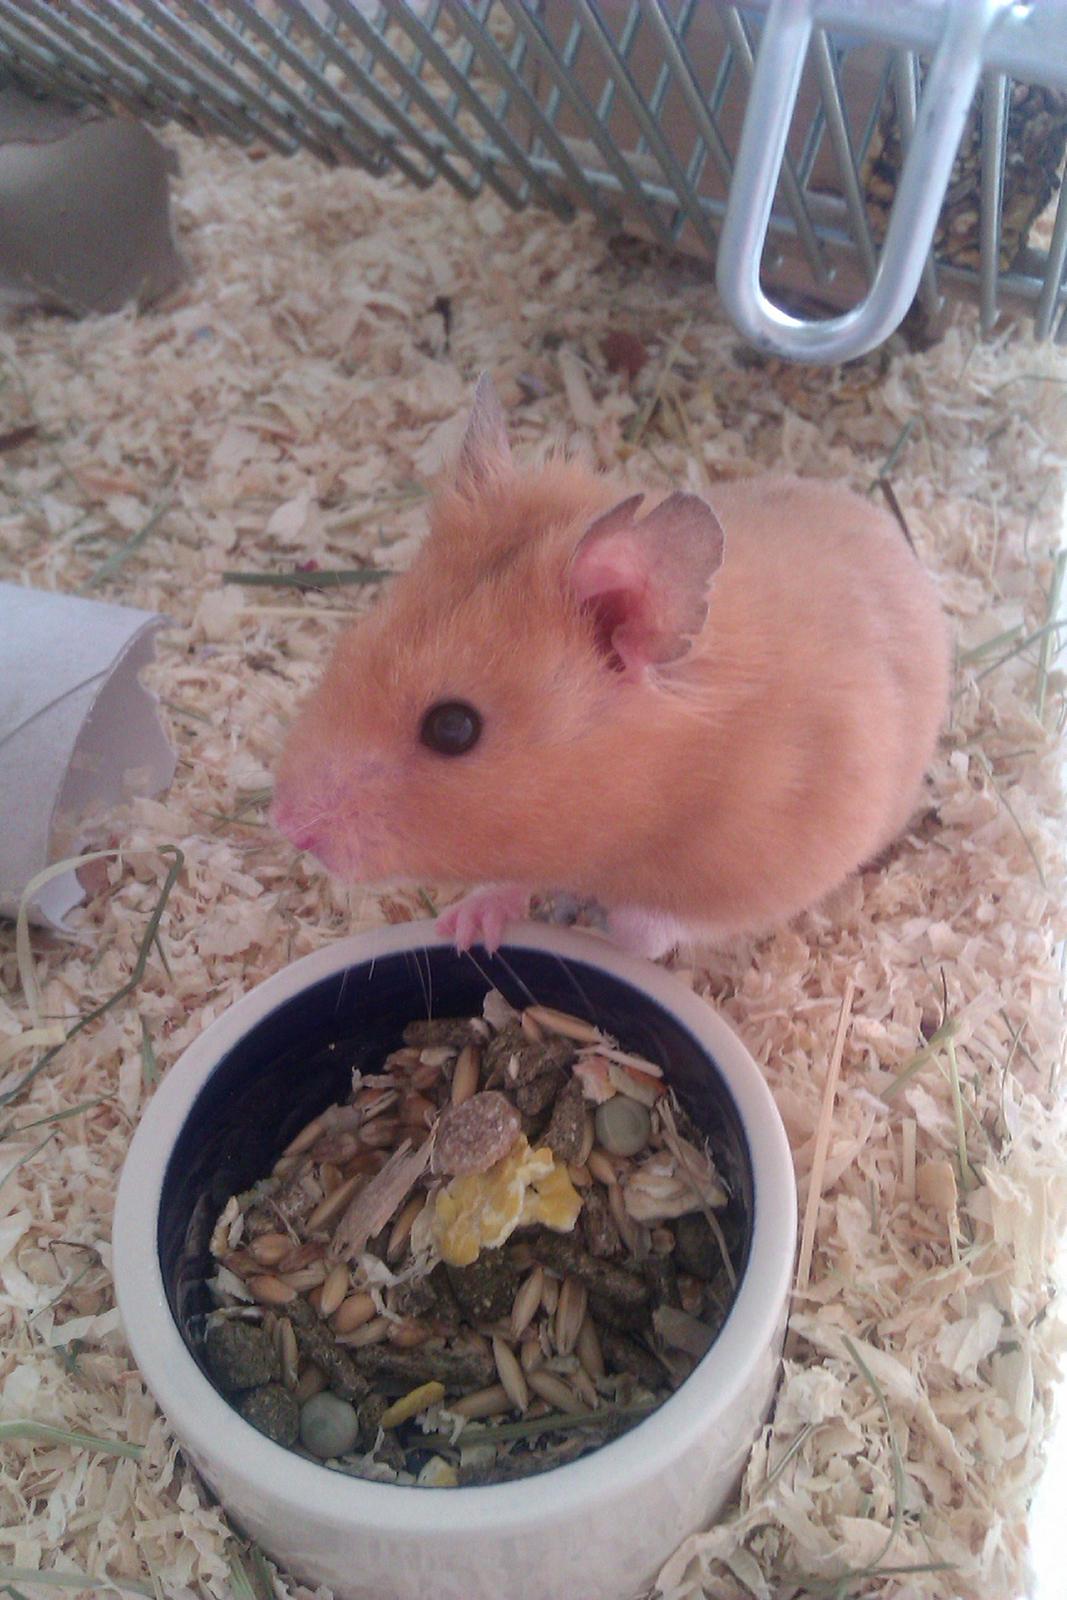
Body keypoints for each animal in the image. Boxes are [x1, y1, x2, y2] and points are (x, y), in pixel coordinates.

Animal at [272, 375, 950, 959]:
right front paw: (464, 928)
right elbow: (514, 877)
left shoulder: (780, 852)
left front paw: (591, 931)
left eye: (453, 728)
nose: (288, 826)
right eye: (349, 644)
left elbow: (653, 927)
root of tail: (889, 531)